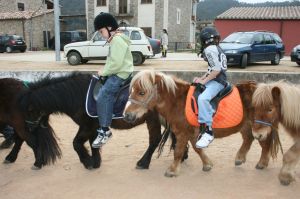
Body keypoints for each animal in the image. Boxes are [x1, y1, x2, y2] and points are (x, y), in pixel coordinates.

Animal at [18, 73, 169, 169]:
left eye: (29, 110)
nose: (29, 128)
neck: (77, 95)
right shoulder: (94, 127)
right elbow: (93, 144)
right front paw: (95, 163)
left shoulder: (87, 126)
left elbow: (76, 143)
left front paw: (87, 162)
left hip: (153, 120)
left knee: (154, 140)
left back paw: (143, 163)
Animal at [122, 70, 274, 177]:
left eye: (142, 92)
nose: (126, 115)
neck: (177, 102)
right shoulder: (191, 133)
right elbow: (197, 149)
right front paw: (207, 165)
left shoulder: (183, 133)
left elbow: (178, 152)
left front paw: (172, 170)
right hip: (246, 125)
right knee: (249, 138)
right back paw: (241, 159)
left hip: (260, 126)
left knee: (264, 142)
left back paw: (261, 163)